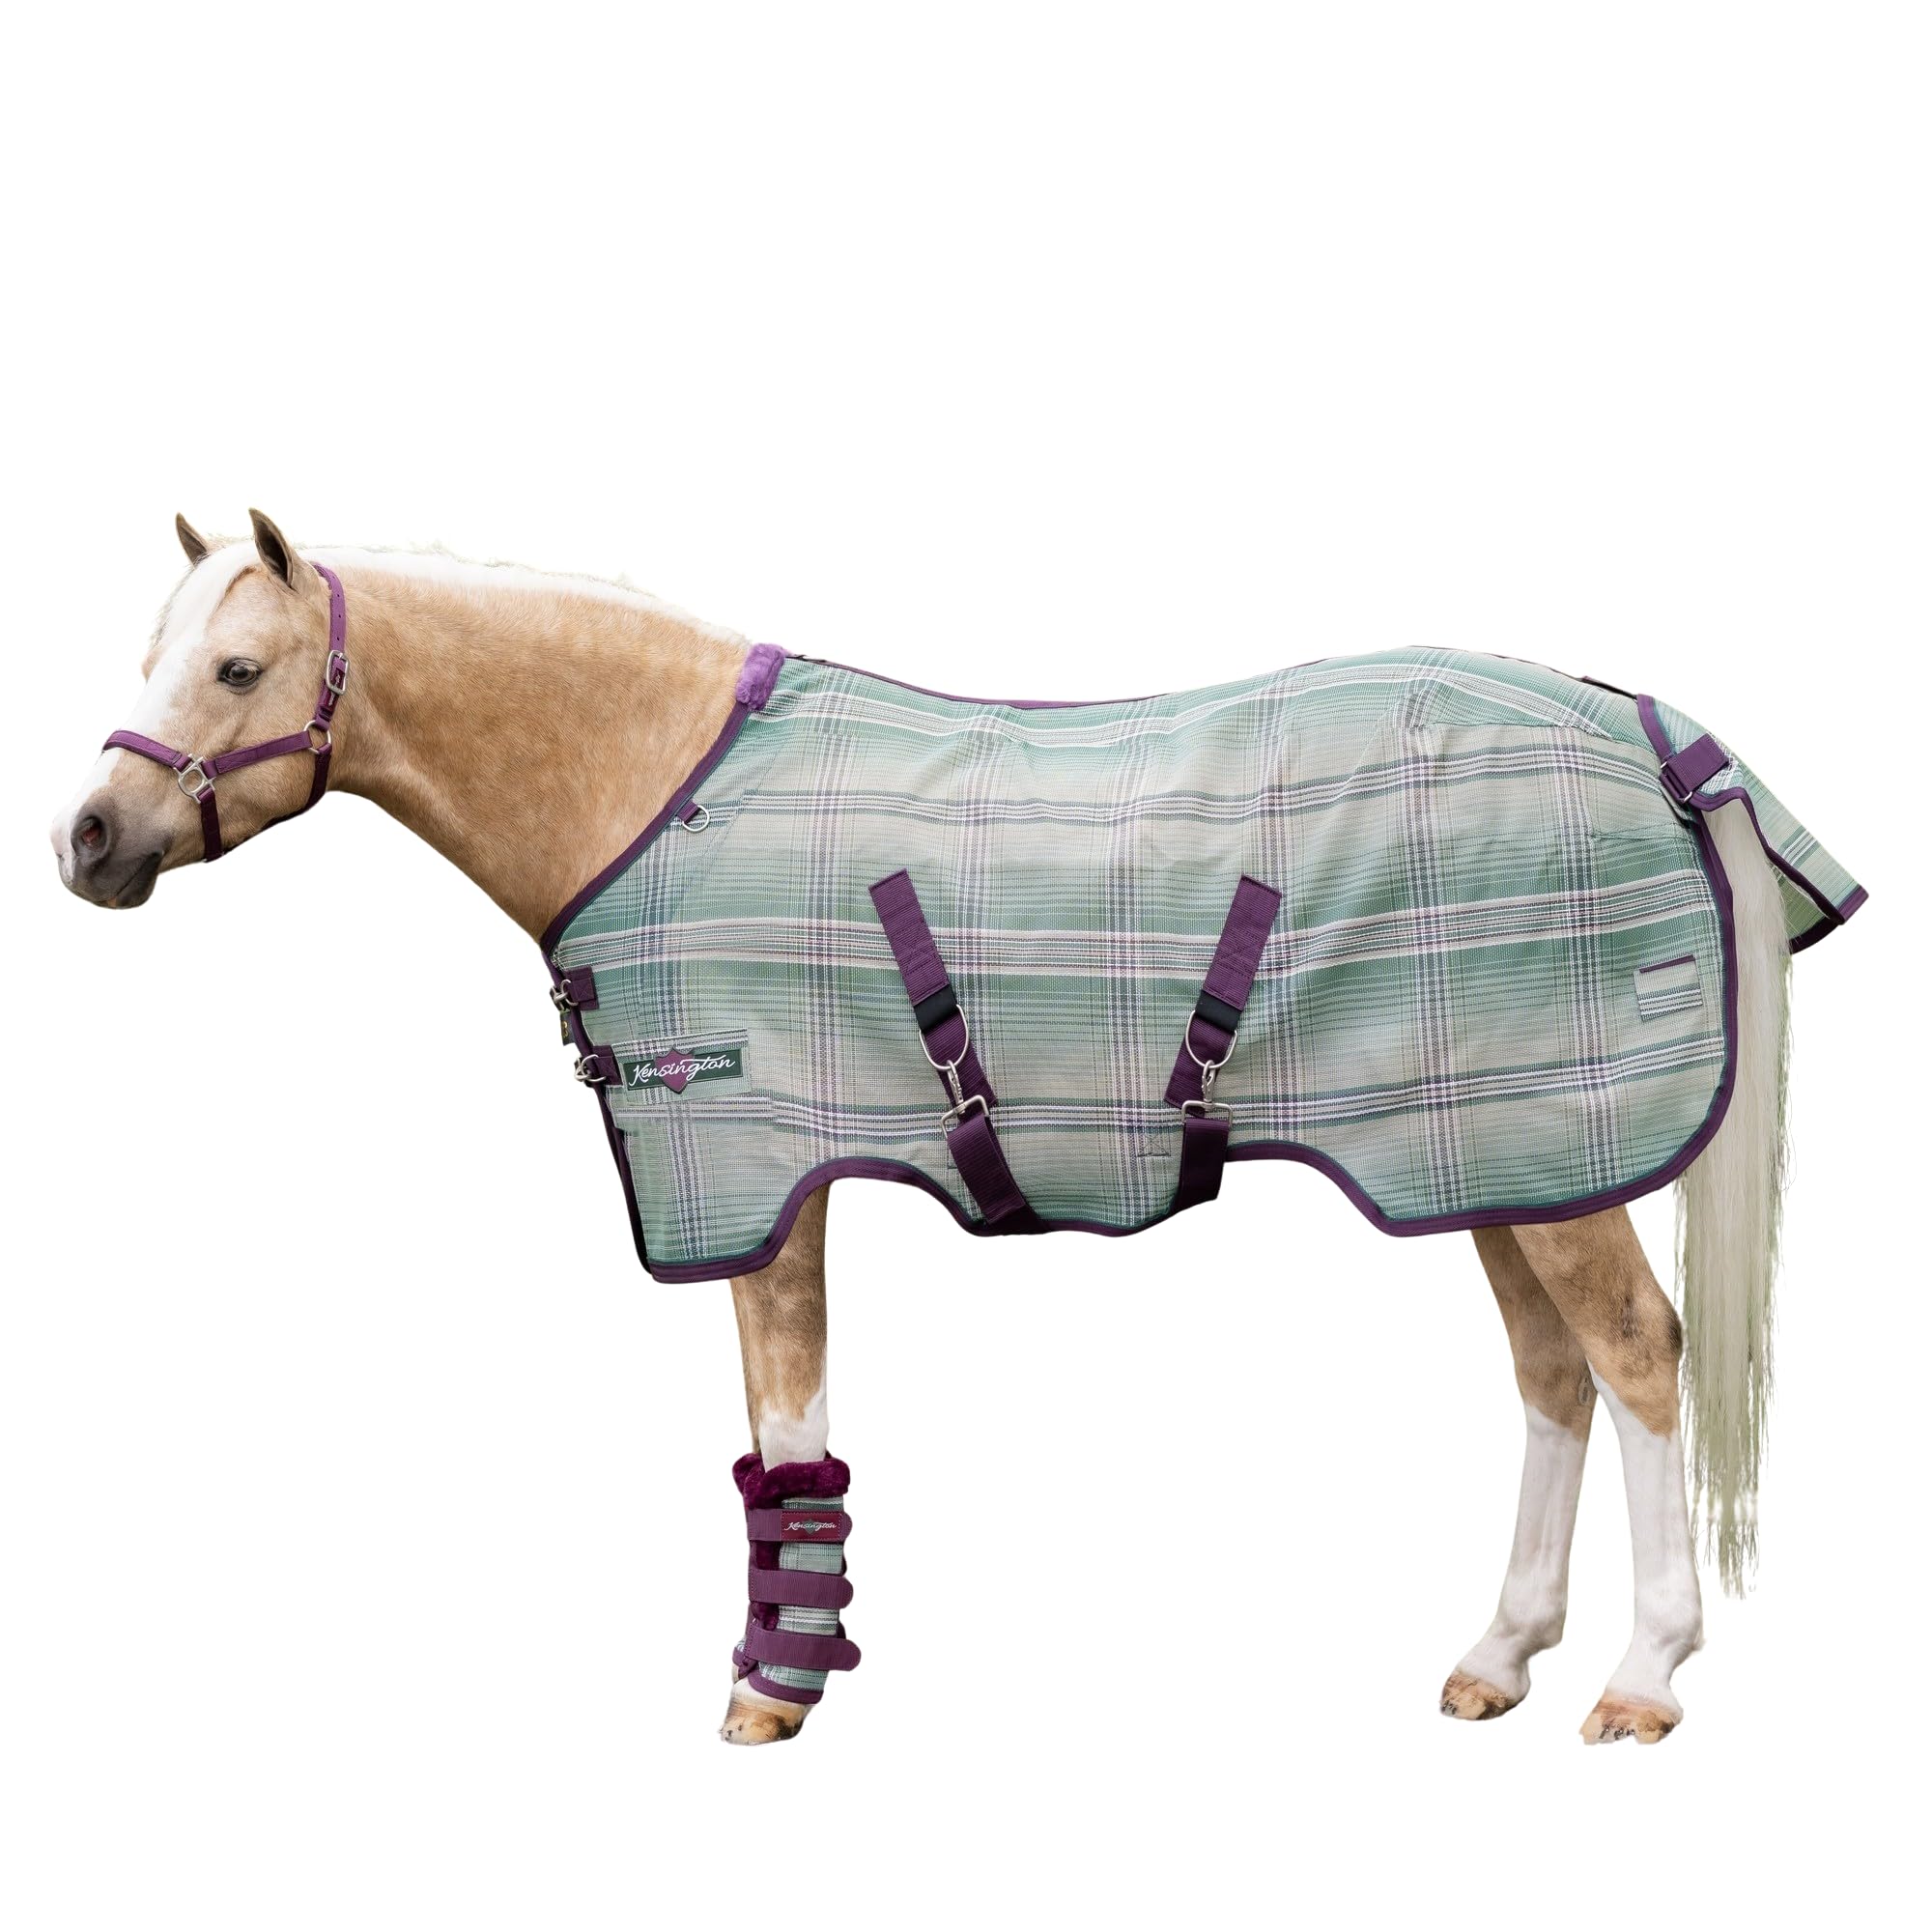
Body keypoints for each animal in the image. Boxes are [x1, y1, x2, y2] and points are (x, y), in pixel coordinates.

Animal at [51, 511, 1865, 1747]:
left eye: (235, 669)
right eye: (152, 654)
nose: (88, 841)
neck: (650, 784)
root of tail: (1644, 726)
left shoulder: (761, 1184)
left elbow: (790, 1436)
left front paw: (773, 1692)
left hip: (1551, 1167)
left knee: (1635, 1357)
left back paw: (1641, 1676)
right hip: (1487, 1157)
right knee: (1553, 1375)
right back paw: (1499, 1654)